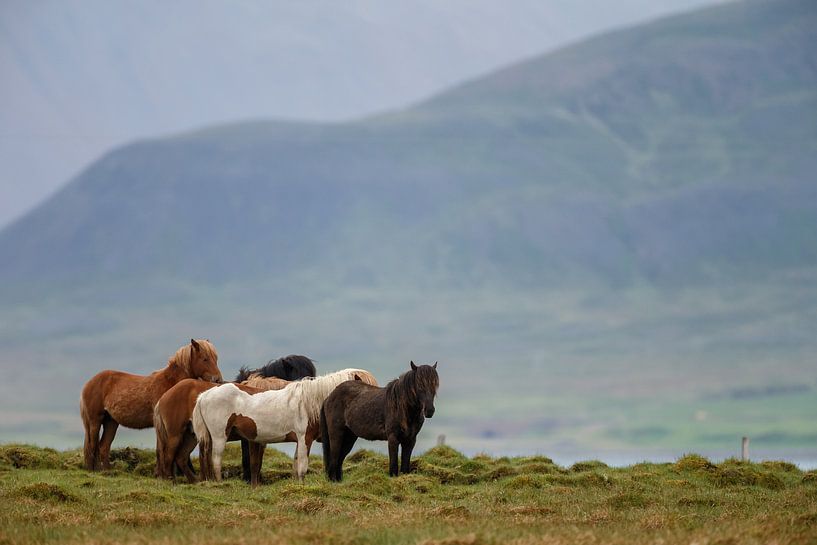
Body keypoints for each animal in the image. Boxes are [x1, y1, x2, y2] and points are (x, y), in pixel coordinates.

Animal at [78, 338, 222, 470]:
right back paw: (93, 470)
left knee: (103, 446)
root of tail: (89, 383)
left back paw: (107, 471)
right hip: (95, 421)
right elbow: (161, 450)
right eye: (205, 359)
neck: (170, 384)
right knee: (92, 445)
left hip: (111, 422)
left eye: (216, 358)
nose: (218, 380)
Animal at [151, 374, 288, 480]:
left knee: (181, 457)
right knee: (168, 455)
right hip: (175, 435)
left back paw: (195, 481)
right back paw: (171, 480)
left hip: (191, 437)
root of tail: (164, 397)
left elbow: (257, 462)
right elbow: (253, 461)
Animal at [193, 368, 378, 482]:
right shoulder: (304, 439)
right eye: (366, 386)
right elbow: (302, 467)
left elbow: (296, 466)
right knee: (216, 460)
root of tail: (204, 395)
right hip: (219, 436)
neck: (309, 401)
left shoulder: (300, 441)